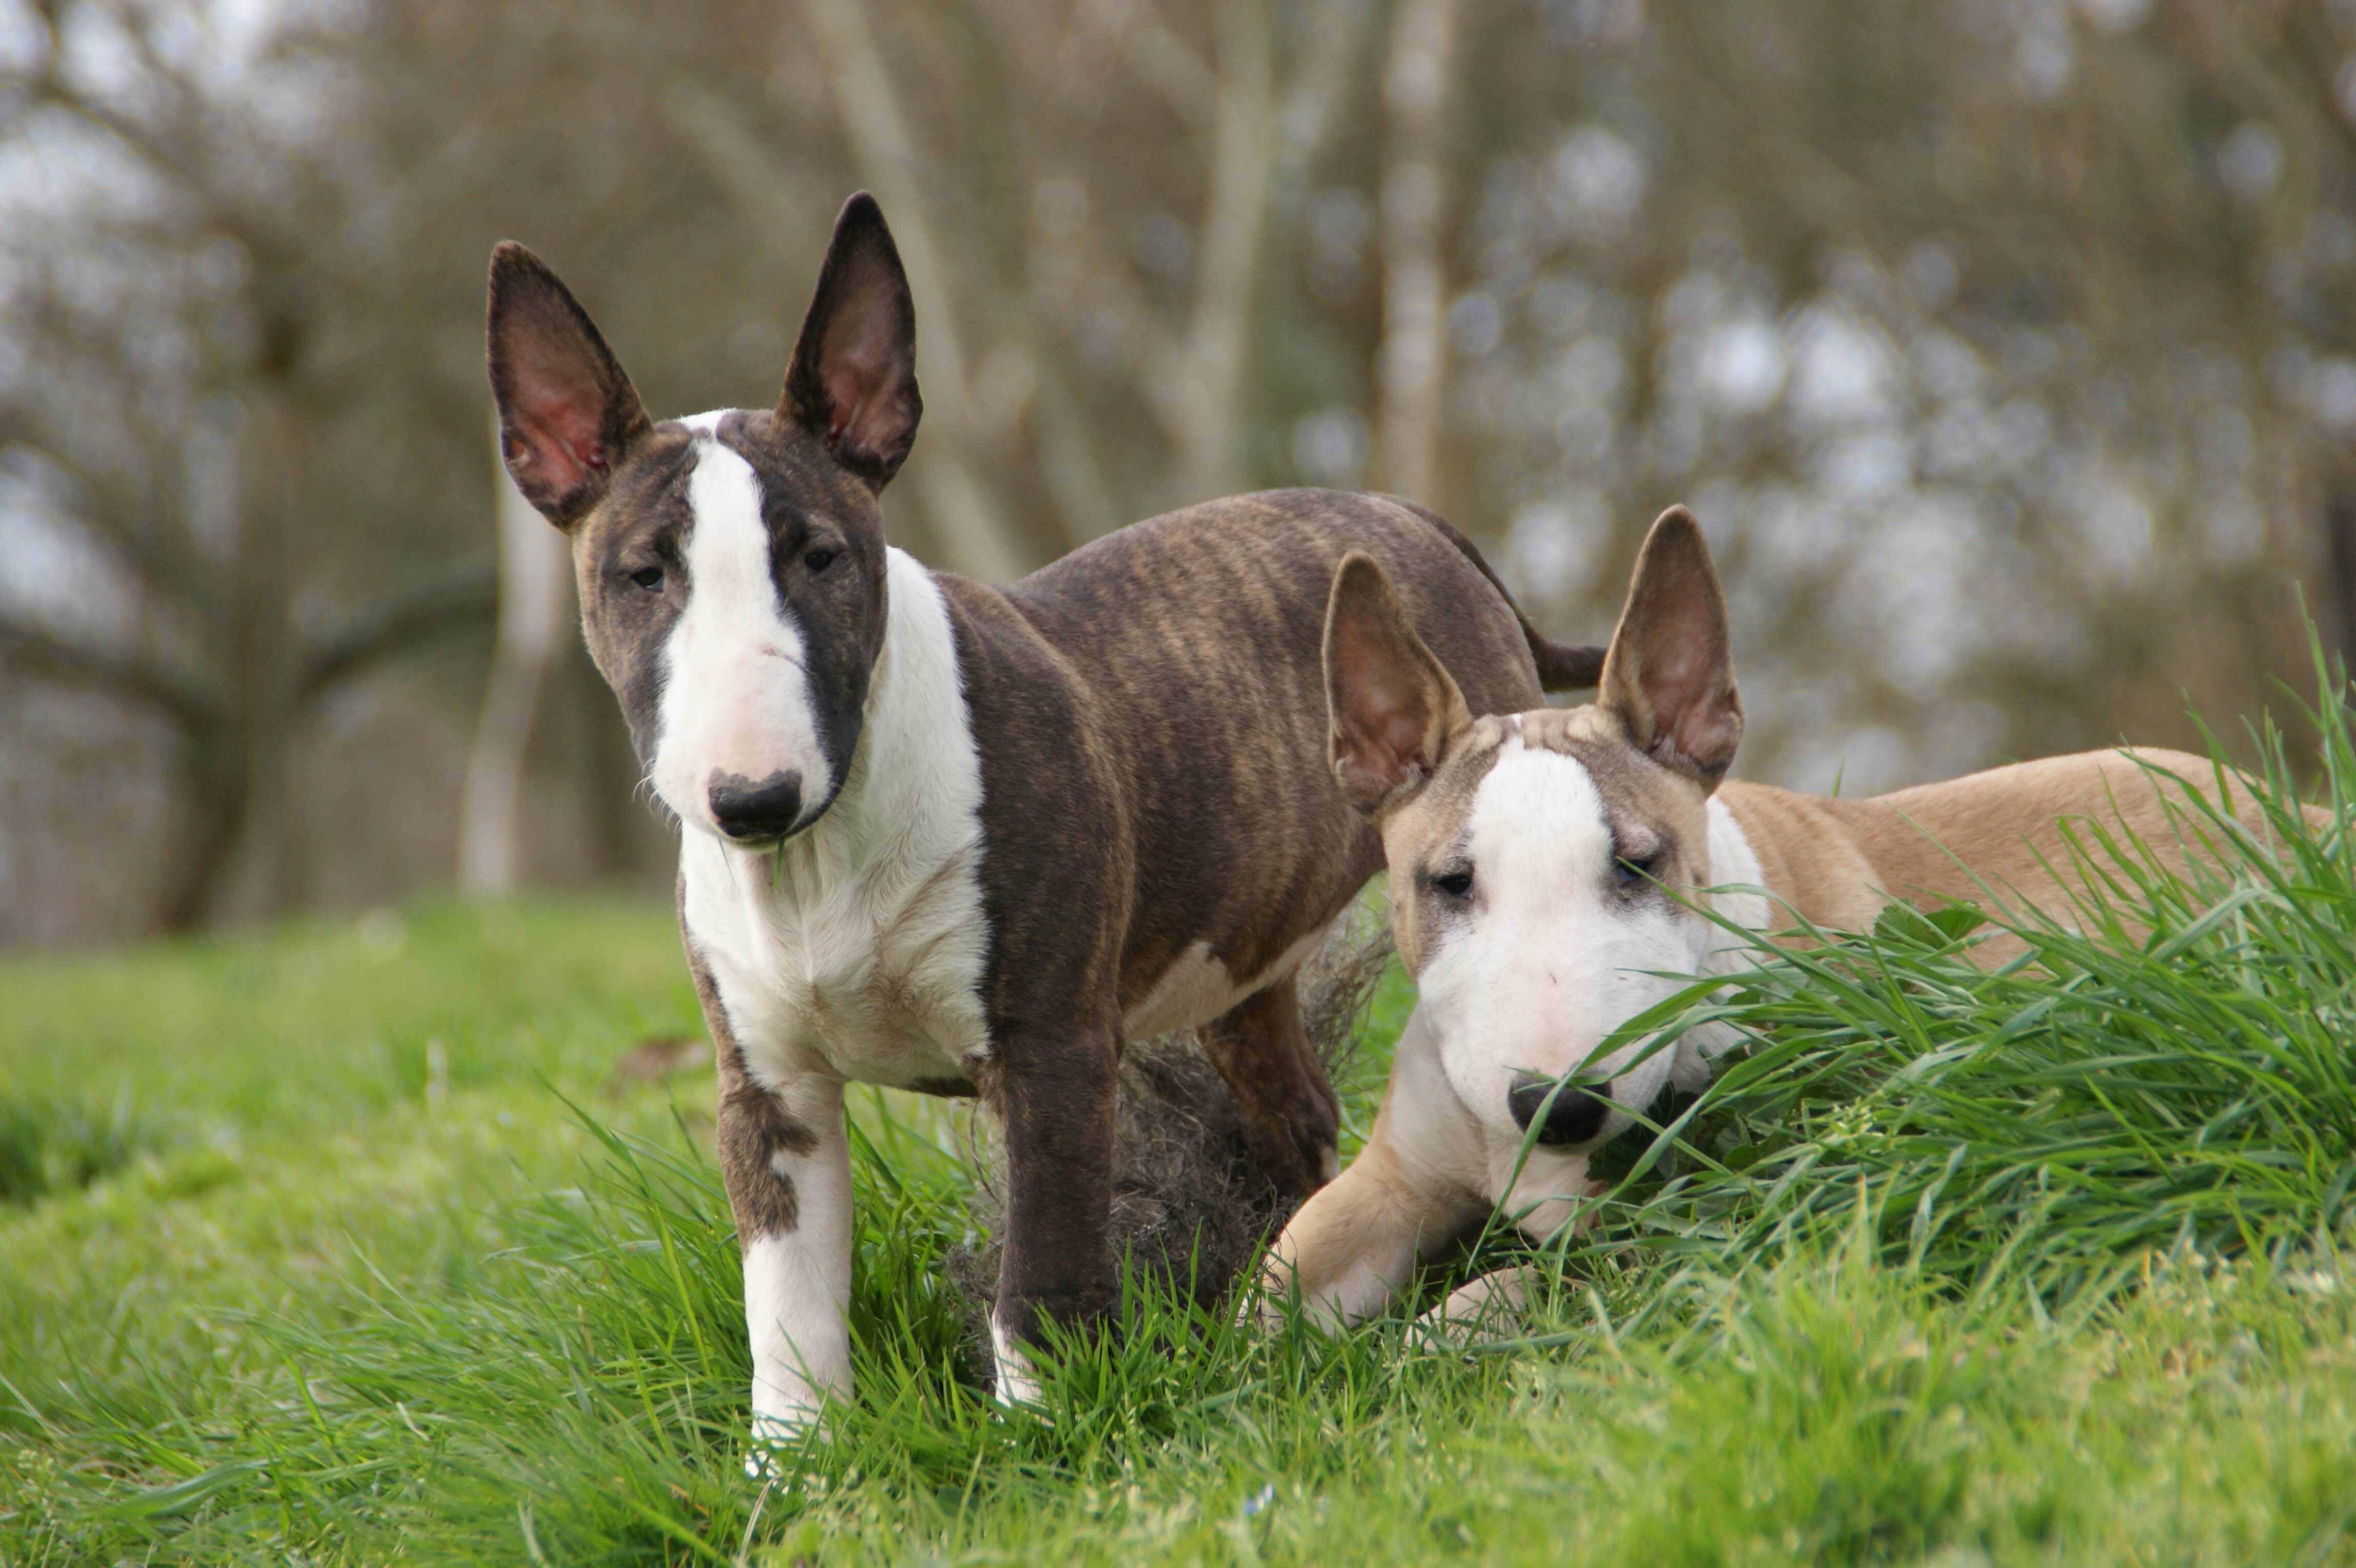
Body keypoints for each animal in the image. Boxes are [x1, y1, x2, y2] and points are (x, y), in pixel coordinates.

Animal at [487, 191, 1611, 1441]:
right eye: (643, 576)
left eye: (821, 557)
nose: (752, 798)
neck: (823, 859)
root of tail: (1417, 520)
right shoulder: (769, 1094)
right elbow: (786, 1312)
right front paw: (795, 1466)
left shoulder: (1054, 1054)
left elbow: (1040, 1272)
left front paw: (1040, 1442)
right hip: (1242, 965)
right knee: (1298, 1110)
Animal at [1263, 503, 2290, 1327]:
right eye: (1451, 883)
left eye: (1637, 865)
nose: (1560, 1107)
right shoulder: (1390, 1180)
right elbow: (1271, 1282)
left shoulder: (1686, 1213)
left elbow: (1504, 1294)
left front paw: (1422, 1339)